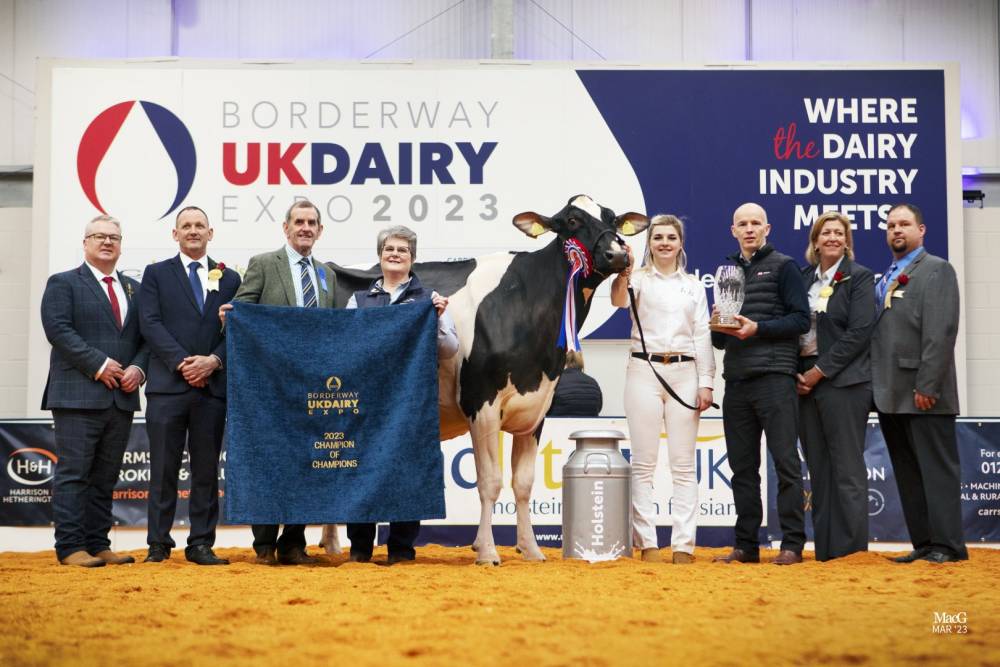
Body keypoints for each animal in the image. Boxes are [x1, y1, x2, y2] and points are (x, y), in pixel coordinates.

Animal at [324, 195, 649, 565]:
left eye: (612, 218)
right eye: (572, 220)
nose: (618, 253)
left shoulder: (536, 409)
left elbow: (522, 483)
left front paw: (531, 549)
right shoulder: (481, 404)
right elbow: (490, 482)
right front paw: (488, 551)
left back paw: (332, 546)